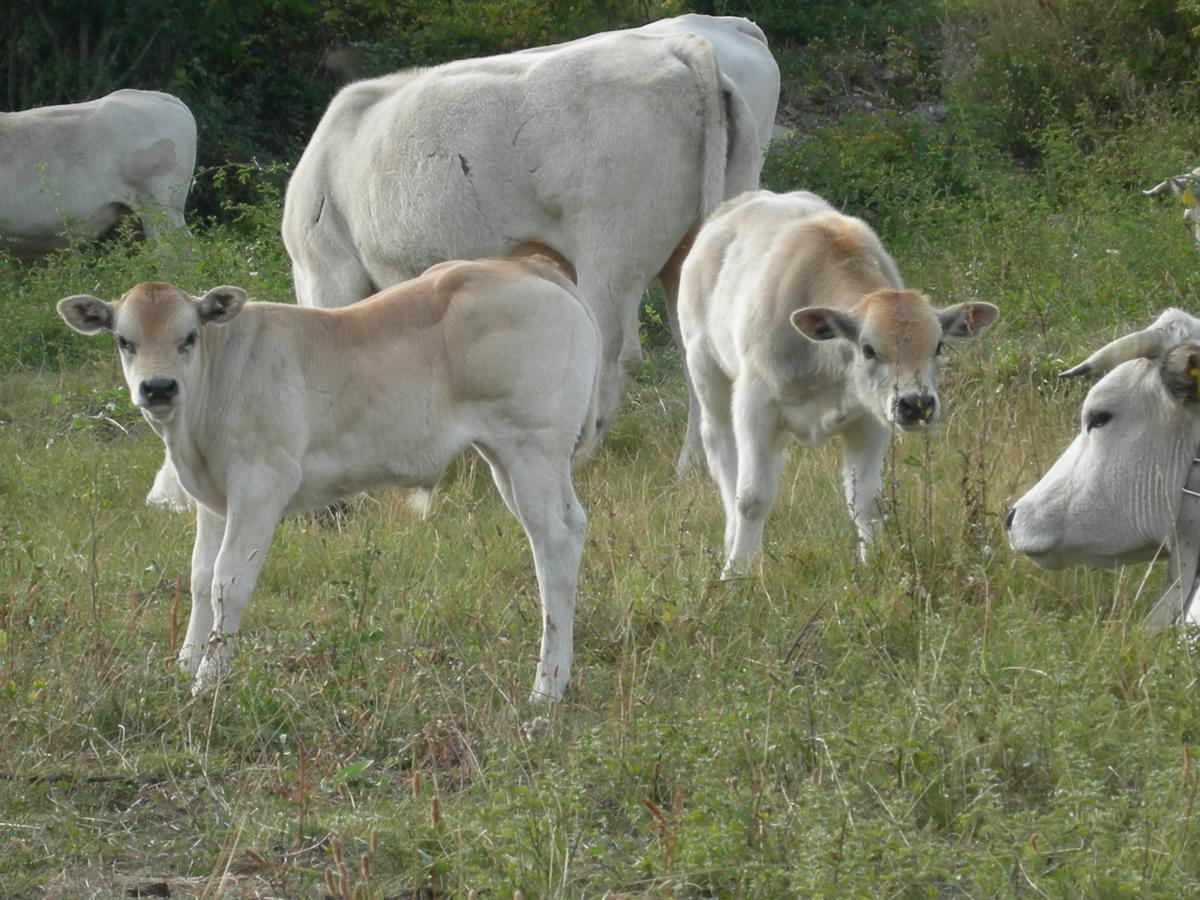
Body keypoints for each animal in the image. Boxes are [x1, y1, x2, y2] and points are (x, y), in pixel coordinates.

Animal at [56, 256, 600, 700]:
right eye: (124, 341)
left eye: (187, 338)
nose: (158, 387)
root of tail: (522, 267)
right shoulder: (213, 501)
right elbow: (198, 576)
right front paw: (186, 664)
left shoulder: (260, 484)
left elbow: (228, 580)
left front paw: (208, 680)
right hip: (508, 457)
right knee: (572, 527)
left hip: (532, 447)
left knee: (552, 543)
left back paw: (546, 687)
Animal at [279, 15, 768, 446]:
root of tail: (680, 48)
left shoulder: (326, 269)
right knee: (697, 347)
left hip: (611, 246)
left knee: (613, 348)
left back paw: (580, 452)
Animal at [681, 190, 998, 578]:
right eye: (868, 349)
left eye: (938, 346)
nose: (917, 404)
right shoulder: (754, 405)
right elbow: (752, 498)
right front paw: (736, 573)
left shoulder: (872, 419)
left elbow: (866, 501)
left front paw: (876, 566)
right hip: (705, 369)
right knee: (721, 449)